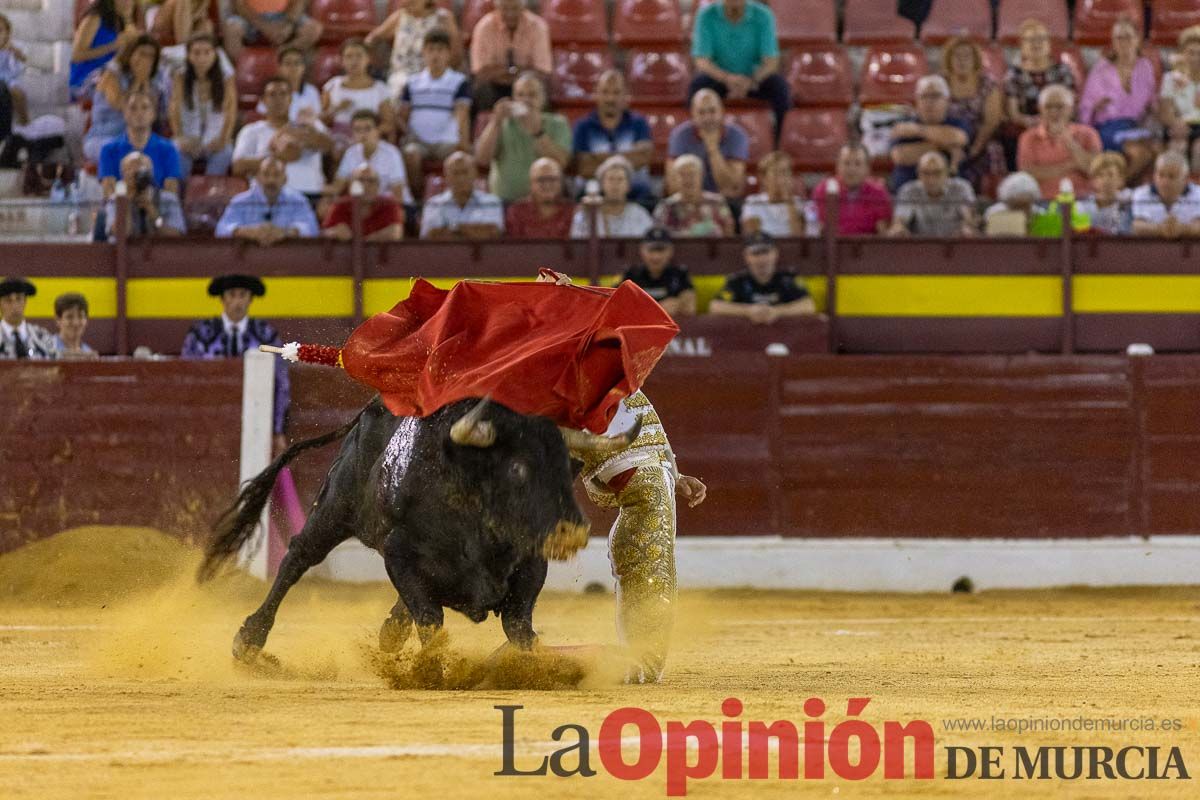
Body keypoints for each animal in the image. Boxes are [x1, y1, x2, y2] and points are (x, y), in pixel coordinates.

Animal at [199, 393, 638, 662]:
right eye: (518, 468)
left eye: (569, 466)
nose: (573, 529)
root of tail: (369, 411)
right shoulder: (399, 553)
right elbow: (430, 617)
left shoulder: (531, 563)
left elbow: (520, 628)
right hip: (335, 508)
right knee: (297, 557)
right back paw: (249, 639)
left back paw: (390, 632)